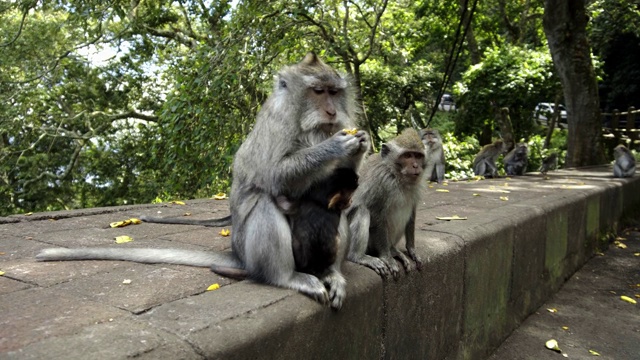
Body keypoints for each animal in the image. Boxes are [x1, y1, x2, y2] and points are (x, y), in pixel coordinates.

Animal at [38, 52, 370, 310]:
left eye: (334, 92)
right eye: (318, 91)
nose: (331, 111)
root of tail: (239, 257)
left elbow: (339, 183)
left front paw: (360, 145)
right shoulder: (278, 124)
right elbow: (275, 176)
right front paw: (335, 146)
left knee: (336, 209)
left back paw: (330, 273)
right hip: (253, 253)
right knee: (264, 202)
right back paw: (287, 277)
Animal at [348, 128, 428, 280]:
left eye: (418, 156)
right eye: (407, 155)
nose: (416, 166)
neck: (395, 175)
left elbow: (412, 214)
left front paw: (412, 250)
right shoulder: (380, 182)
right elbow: (376, 215)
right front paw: (387, 257)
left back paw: (393, 250)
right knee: (361, 210)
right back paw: (359, 256)